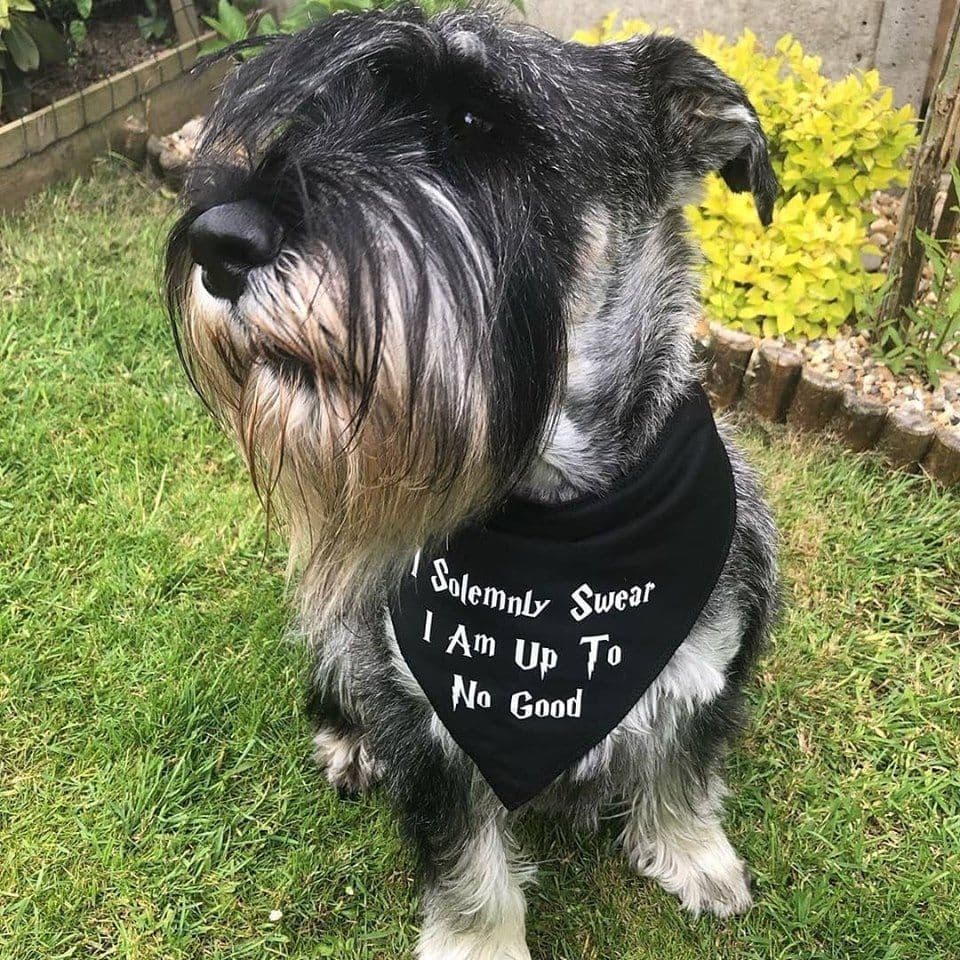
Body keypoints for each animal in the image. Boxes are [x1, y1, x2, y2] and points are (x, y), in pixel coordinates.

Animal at [165, 5, 780, 952]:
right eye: (310, 117)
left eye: (472, 126)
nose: (219, 240)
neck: (561, 521)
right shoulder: (430, 732)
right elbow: (468, 864)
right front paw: (478, 942)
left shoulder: (707, 666)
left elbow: (685, 767)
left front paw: (695, 857)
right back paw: (351, 743)